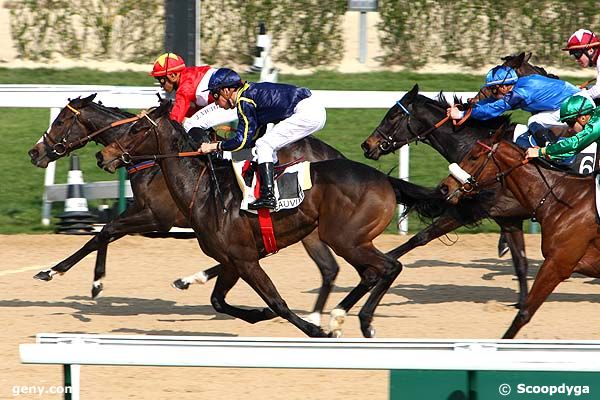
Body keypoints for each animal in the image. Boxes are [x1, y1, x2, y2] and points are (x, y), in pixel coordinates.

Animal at [28, 94, 344, 324]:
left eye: (61, 121)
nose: (34, 152)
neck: (153, 158)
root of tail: (335, 155)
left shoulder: (156, 218)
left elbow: (105, 231)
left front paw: (80, 278)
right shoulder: (143, 212)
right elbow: (103, 233)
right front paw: (67, 275)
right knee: (327, 268)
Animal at [97, 102, 446, 338]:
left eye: (137, 129)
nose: (104, 155)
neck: (204, 190)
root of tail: (385, 180)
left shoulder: (245, 259)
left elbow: (277, 301)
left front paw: (310, 328)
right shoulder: (232, 261)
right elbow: (218, 301)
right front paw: (259, 313)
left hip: (345, 238)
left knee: (388, 267)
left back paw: (352, 320)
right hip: (345, 239)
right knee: (372, 272)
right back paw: (346, 317)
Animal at [360, 85, 528, 310]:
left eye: (393, 115)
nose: (367, 145)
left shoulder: (468, 210)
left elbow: (419, 238)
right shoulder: (504, 216)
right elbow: (519, 261)